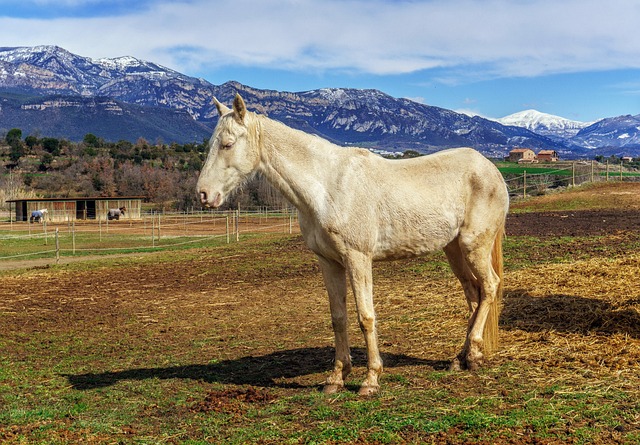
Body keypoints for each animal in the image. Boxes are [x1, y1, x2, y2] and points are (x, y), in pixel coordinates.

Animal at [197, 94, 509, 396]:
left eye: (228, 144)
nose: (203, 194)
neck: (327, 187)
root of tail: (491, 169)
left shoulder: (358, 257)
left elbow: (365, 317)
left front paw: (371, 380)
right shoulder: (328, 262)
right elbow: (338, 317)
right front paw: (336, 378)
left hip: (474, 246)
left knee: (489, 287)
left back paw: (473, 355)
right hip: (453, 249)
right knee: (474, 294)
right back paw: (463, 358)